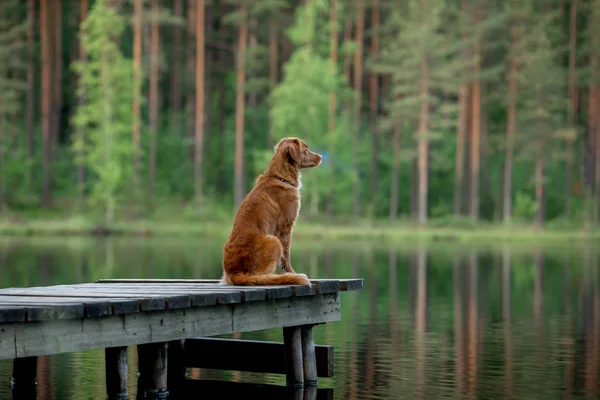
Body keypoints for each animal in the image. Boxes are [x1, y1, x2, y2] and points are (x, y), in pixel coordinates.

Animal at [221, 136, 324, 286]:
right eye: (306, 149)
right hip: (274, 241)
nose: (320, 157)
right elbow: (286, 256)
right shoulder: (286, 226)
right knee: (261, 275)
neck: (281, 177)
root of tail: (234, 272)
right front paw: (292, 273)